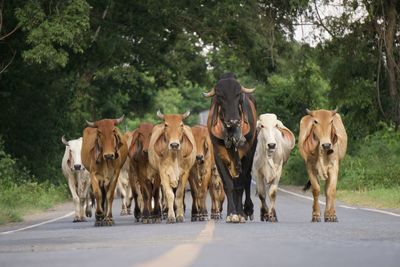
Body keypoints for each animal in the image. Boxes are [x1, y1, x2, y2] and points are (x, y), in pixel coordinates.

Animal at [205, 73, 258, 224]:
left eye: (238, 94)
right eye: (220, 95)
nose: (233, 120)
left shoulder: (248, 153)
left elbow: (240, 184)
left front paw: (240, 214)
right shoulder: (218, 154)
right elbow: (228, 184)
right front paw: (232, 214)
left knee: (247, 179)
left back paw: (247, 209)